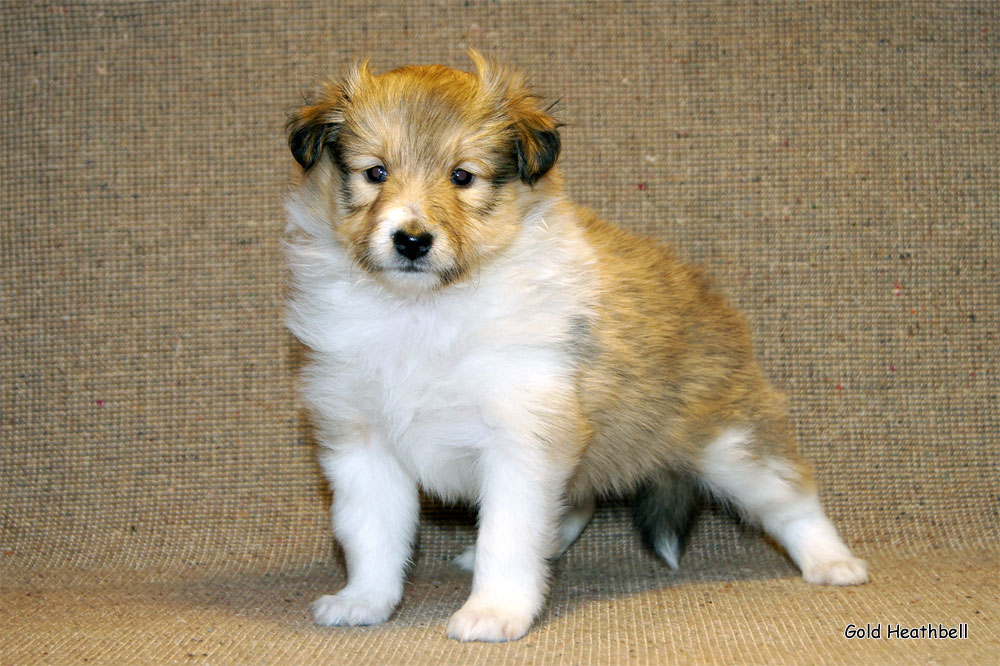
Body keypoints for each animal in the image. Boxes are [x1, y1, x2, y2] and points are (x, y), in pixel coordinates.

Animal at [284, 52, 868, 644]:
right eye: (375, 172)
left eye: (462, 176)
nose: (411, 240)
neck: (422, 312)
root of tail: (703, 291)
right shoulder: (363, 441)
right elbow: (372, 536)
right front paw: (364, 601)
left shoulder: (523, 434)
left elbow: (507, 537)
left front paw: (494, 612)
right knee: (572, 505)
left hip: (732, 443)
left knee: (793, 495)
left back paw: (834, 564)